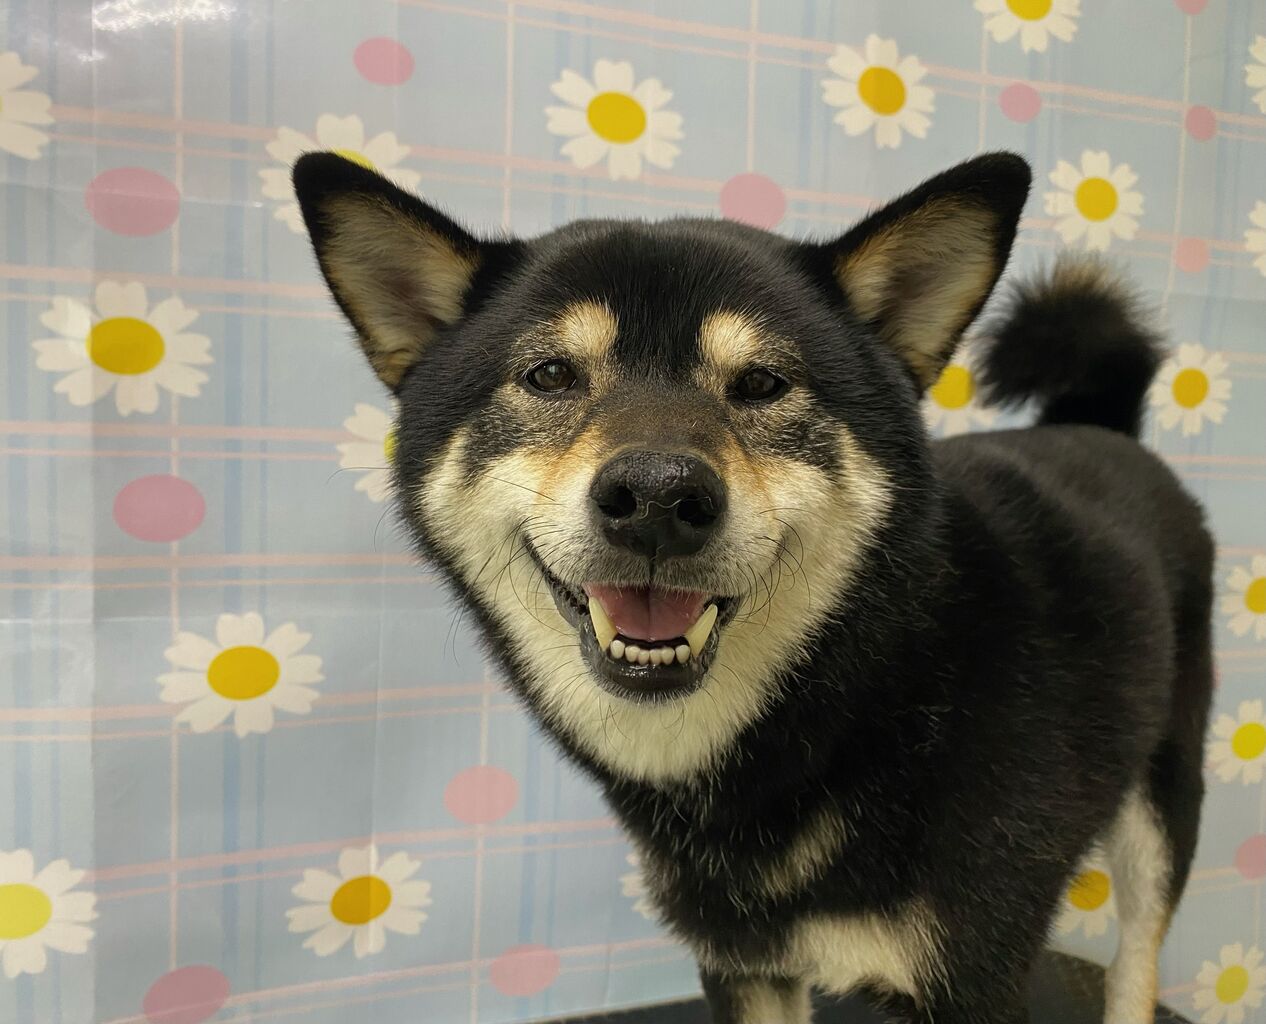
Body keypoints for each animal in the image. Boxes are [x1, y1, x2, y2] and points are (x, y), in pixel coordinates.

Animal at [292, 150, 1215, 1024]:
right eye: (550, 375)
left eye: (763, 383)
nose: (657, 498)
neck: (857, 702)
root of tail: (1100, 427)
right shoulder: (741, 960)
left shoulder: (971, 978)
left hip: (1162, 810)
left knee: (1136, 959)